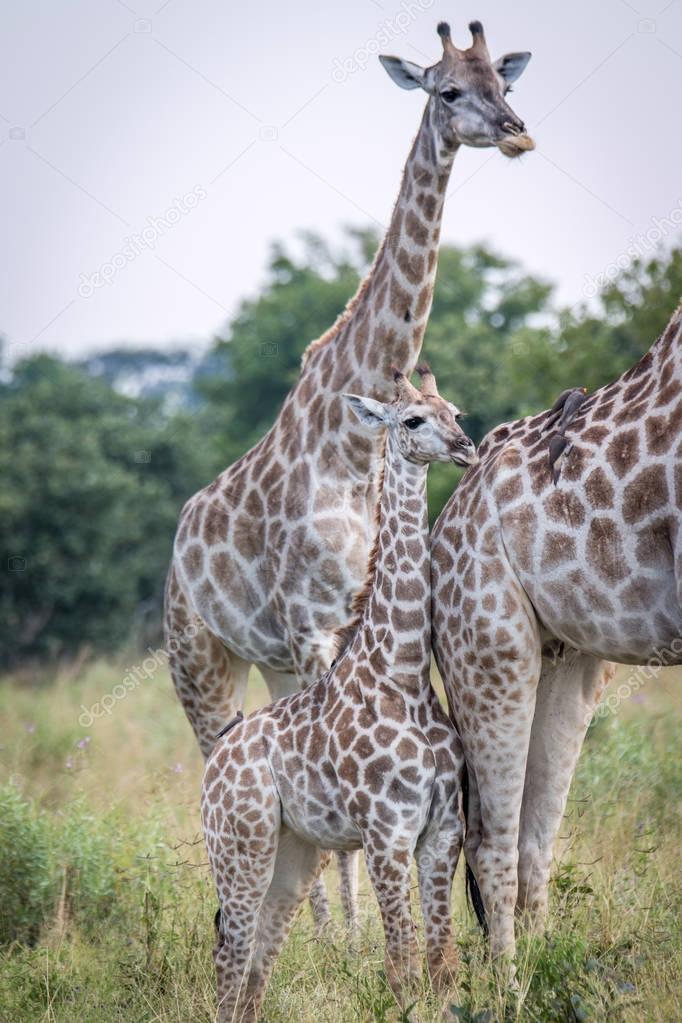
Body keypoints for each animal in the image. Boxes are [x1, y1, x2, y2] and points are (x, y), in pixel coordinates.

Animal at [163, 18, 531, 928]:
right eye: (448, 90)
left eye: (503, 81)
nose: (515, 132)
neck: (350, 445)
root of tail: (180, 538)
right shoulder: (310, 619)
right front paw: (354, 942)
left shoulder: (341, 621)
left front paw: (350, 936)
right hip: (200, 658)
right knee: (218, 755)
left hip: (272, 660)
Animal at [200, 366, 478, 1014]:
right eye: (413, 420)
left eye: (456, 413)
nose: (465, 447)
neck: (403, 671)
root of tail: (215, 760)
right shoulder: (384, 834)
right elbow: (403, 968)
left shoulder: (442, 832)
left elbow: (442, 966)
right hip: (239, 846)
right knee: (230, 955)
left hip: (295, 853)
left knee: (258, 961)